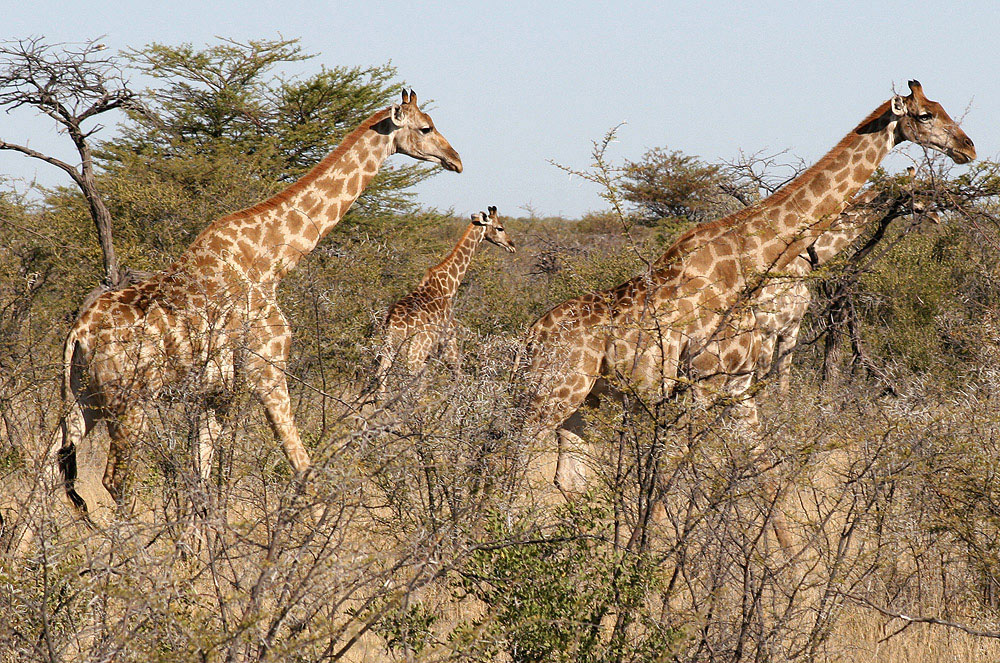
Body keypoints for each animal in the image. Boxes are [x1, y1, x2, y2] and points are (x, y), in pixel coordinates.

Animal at [48, 91, 462, 516]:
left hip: (82, 397)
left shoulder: (216, 392)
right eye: (426, 128)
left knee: (50, 466)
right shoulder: (267, 368)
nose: (456, 160)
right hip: (130, 402)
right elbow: (301, 464)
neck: (272, 260)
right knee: (114, 480)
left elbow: (200, 475)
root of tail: (79, 333)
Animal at [374, 205, 516, 396]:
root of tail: (393, 322)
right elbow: (457, 374)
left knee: (381, 376)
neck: (449, 284)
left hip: (389, 347)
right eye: (500, 228)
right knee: (412, 381)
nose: (512, 245)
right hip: (415, 351)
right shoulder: (449, 339)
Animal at [524, 80, 976, 496]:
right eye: (925, 116)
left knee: (566, 479)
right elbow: (684, 475)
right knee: (513, 465)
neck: (748, 260)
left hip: (583, 406)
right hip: (551, 396)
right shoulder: (712, 377)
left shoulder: (738, 381)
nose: (968, 148)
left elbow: (763, 468)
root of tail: (531, 336)